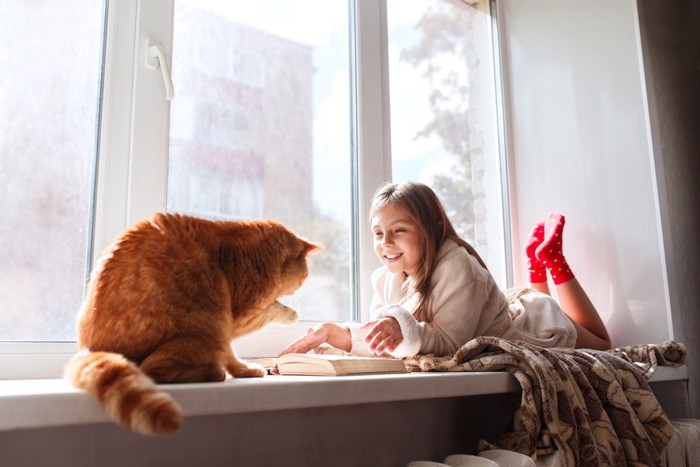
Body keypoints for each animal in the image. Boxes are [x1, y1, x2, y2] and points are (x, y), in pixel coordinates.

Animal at [63, 214, 320, 436]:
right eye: (305, 273)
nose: (305, 281)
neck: (259, 253)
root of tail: (91, 348)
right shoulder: (239, 317)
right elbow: (271, 312)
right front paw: (291, 315)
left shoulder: (230, 325)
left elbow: (231, 354)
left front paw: (244, 370)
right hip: (207, 326)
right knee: (154, 369)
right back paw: (214, 372)